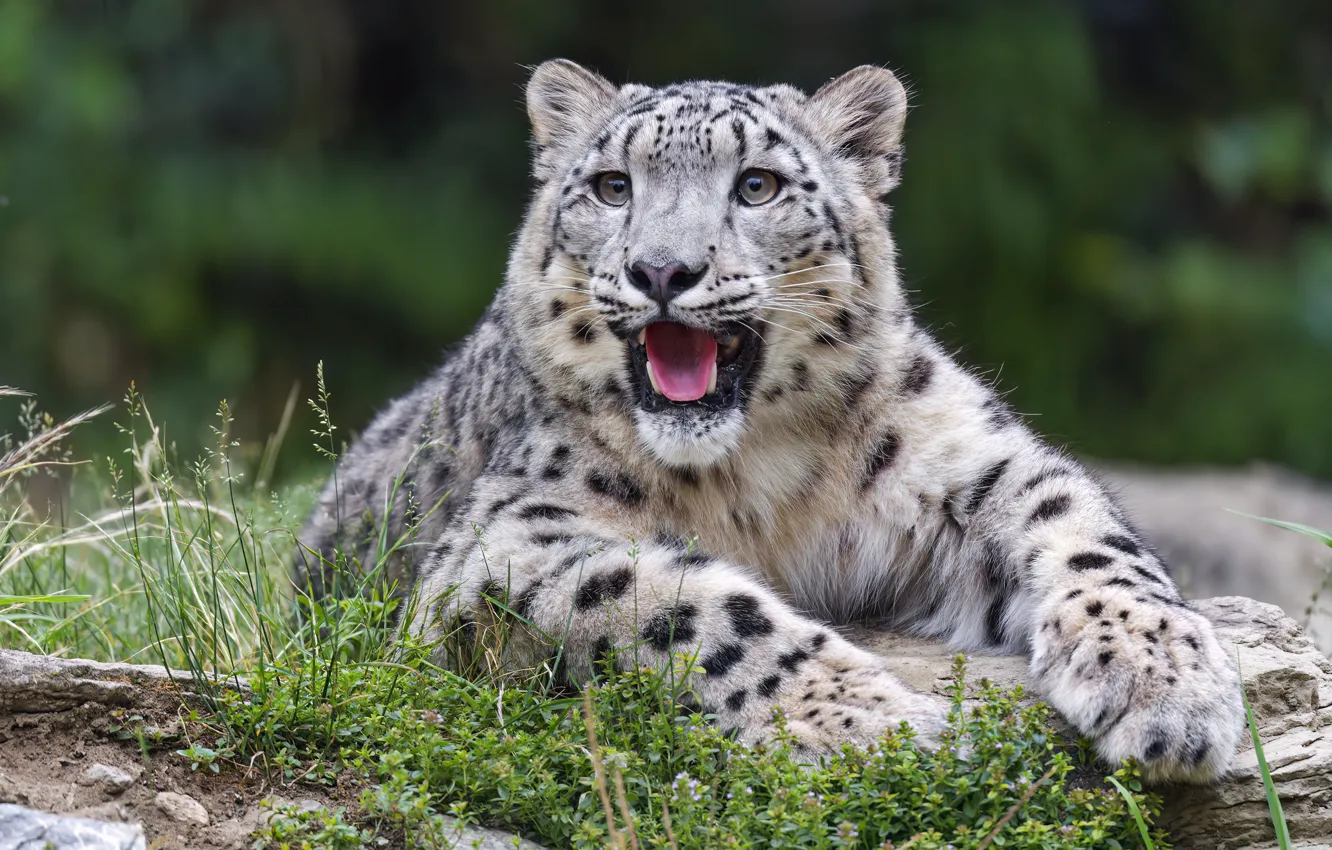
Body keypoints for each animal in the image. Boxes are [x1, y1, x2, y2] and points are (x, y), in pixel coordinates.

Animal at [299, 59, 1245, 783]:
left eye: (757, 185)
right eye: (612, 187)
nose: (662, 270)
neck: (755, 475)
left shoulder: (972, 459)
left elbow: (1083, 528)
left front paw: (1166, 684)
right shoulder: (506, 539)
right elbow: (683, 603)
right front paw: (870, 723)